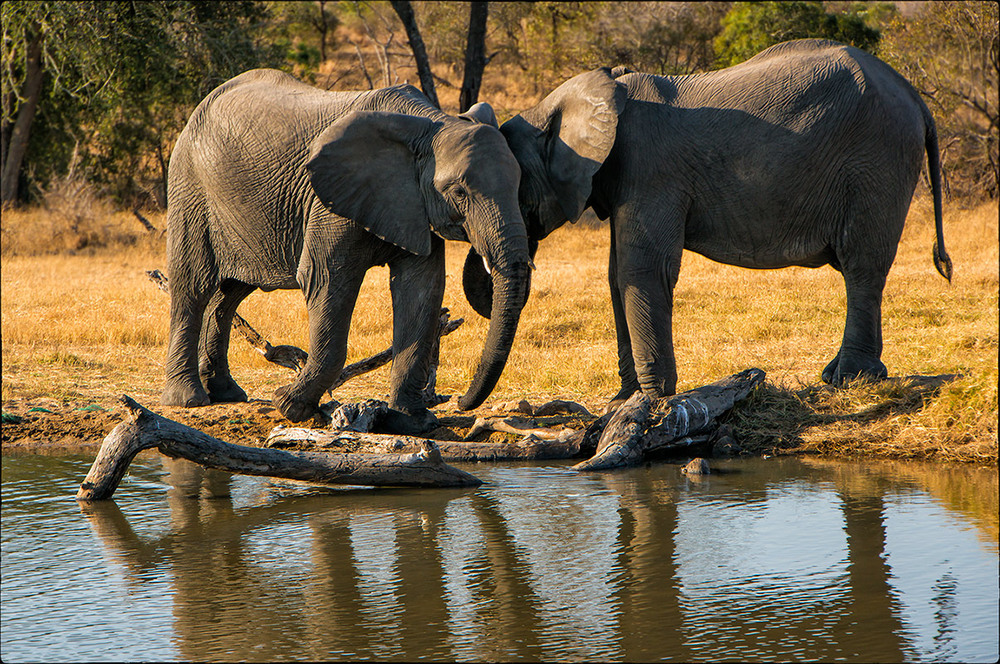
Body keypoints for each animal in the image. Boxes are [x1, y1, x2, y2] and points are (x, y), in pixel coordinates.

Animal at [161, 67, 532, 430]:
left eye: (519, 185)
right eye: (458, 193)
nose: (460, 401)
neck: (428, 124)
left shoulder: (414, 204)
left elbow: (422, 289)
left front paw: (410, 421)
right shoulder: (328, 203)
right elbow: (326, 280)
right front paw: (289, 405)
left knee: (229, 294)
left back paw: (226, 393)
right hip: (190, 187)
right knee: (193, 287)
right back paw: (187, 399)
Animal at [468, 40, 952, 404]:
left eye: (514, 188)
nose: (459, 401)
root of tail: (915, 96)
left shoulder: (651, 168)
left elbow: (642, 269)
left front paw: (652, 399)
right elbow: (615, 274)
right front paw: (624, 399)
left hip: (877, 160)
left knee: (862, 264)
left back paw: (848, 379)